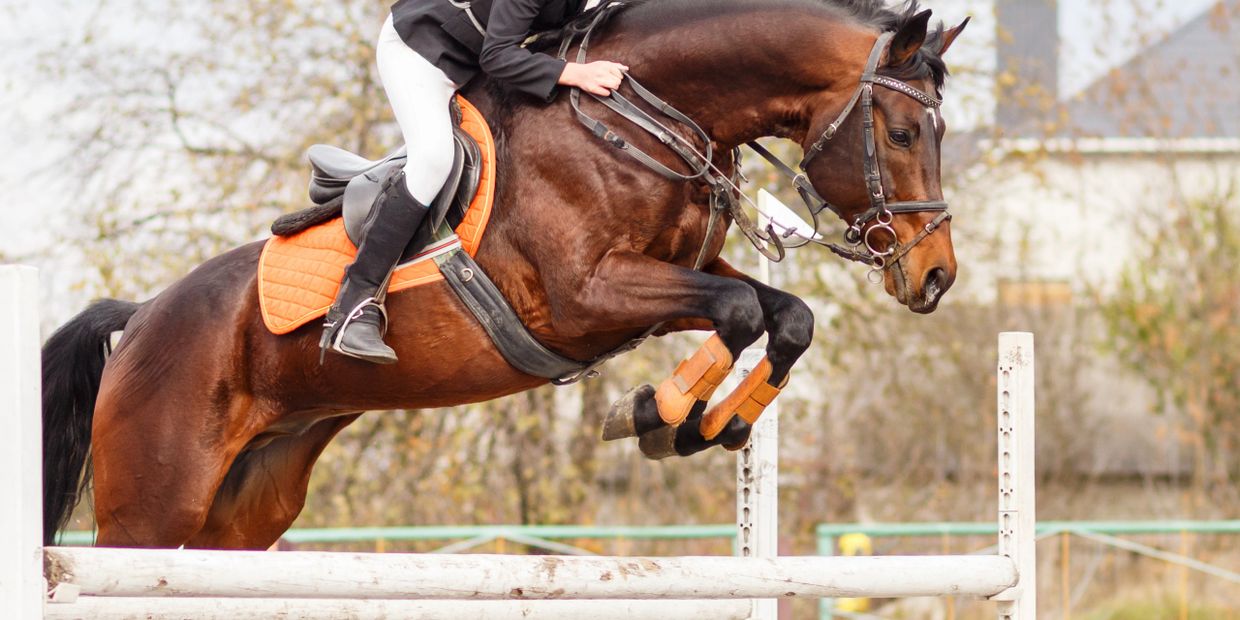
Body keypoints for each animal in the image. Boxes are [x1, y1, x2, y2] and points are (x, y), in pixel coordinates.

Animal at [41, 0, 966, 549]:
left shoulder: (667, 277)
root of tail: (141, 318)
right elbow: (740, 309)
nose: (936, 276)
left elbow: (782, 315)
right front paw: (662, 416)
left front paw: (693, 422)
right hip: (151, 508)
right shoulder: (585, 295)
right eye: (901, 133)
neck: (639, 117)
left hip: (245, 507)